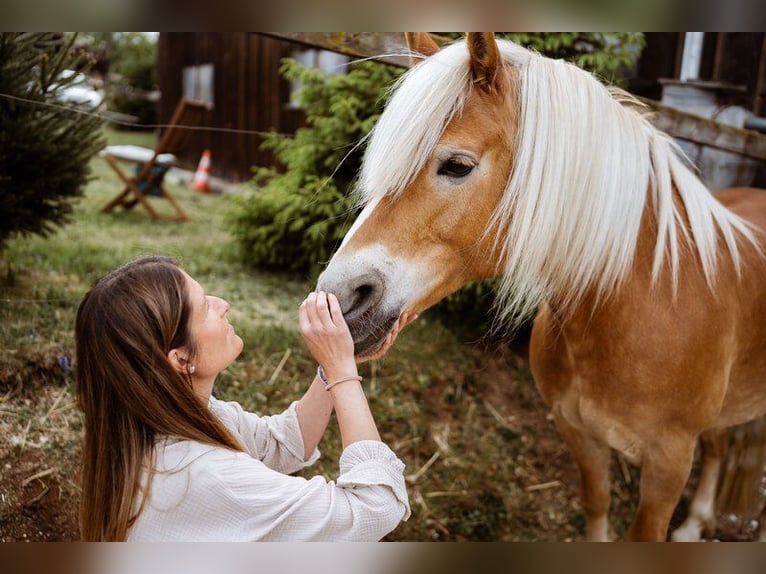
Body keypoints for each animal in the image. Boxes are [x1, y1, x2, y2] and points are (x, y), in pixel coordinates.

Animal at [316, 32, 766, 541]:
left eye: (457, 165)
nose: (339, 296)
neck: (647, 302)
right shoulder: (577, 432)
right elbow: (597, 502)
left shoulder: (668, 465)